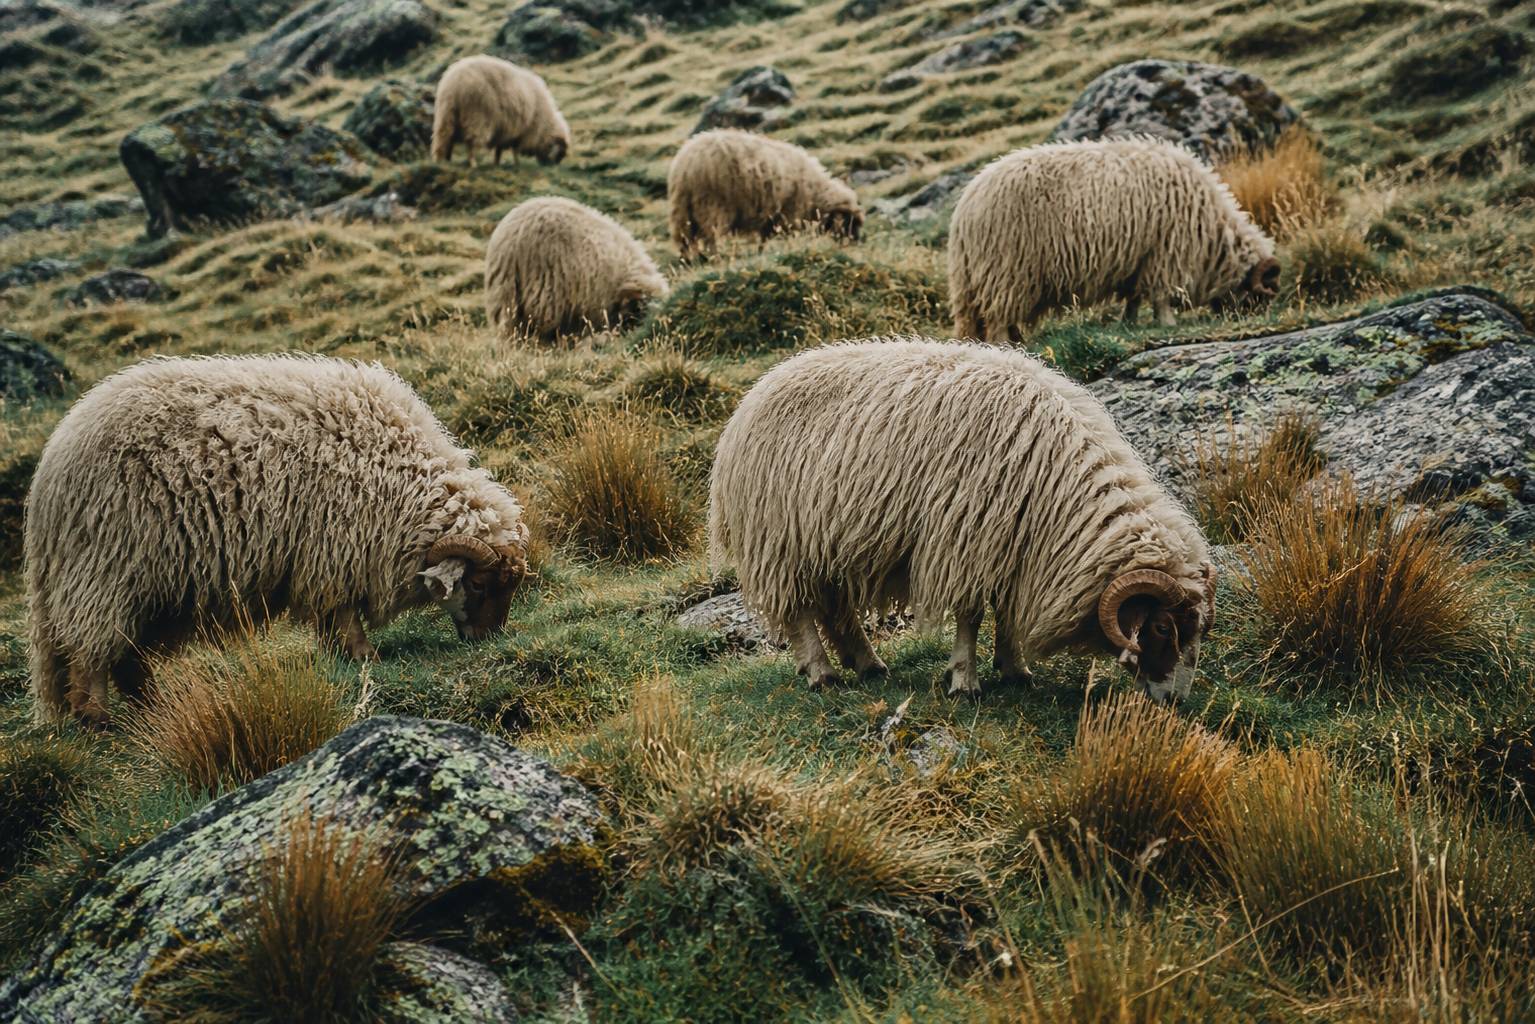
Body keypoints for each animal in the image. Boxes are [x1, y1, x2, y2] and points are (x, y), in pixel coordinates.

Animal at [25, 355, 531, 727]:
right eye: (478, 585)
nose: (488, 640)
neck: (395, 476)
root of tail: (52, 463)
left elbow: (332, 620)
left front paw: (343, 656)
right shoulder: (334, 550)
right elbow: (344, 614)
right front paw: (365, 656)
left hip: (145, 588)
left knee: (126, 657)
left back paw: (154, 706)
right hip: (106, 569)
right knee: (90, 651)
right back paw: (97, 717)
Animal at [431, 55, 570, 167]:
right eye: (559, 154)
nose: (551, 167)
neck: (544, 125)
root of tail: (455, 82)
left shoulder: (504, 130)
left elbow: (499, 150)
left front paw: (496, 163)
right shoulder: (521, 131)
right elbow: (514, 150)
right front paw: (516, 164)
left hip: (447, 113)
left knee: (445, 138)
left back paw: (443, 161)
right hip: (477, 116)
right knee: (471, 142)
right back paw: (473, 163)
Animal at [667, 129, 863, 259]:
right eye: (849, 223)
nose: (856, 243)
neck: (815, 193)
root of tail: (685, 167)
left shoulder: (771, 218)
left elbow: (764, 239)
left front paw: (761, 253)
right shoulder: (788, 214)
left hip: (683, 212)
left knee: (685, 241)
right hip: (712, 207)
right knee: (711, 238)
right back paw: (718, 258)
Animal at [708, 337, 1217, 703]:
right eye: (1161, 628)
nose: (1175, 700)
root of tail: (757, 392)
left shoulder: (1014, 544)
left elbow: (1007, 611)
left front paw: (1015, 670)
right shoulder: (968, 542)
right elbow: (971, 617)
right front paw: (965, 682)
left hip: (826, 544)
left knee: (836, 609)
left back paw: (868, 663)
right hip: (780, 542)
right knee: (800, 613)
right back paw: (822, 673)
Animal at [947, 137, 1280, 341]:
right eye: (1260, 293)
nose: (1252, 321)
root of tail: (966, 208)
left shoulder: (1138, 259)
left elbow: (1134, 296)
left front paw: (1129, 322)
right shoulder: (1163, 253)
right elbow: (1159, 295)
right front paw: (1167, 322)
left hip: (980, 280)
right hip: (1007, 271)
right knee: (997, 320)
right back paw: (1006, 343)